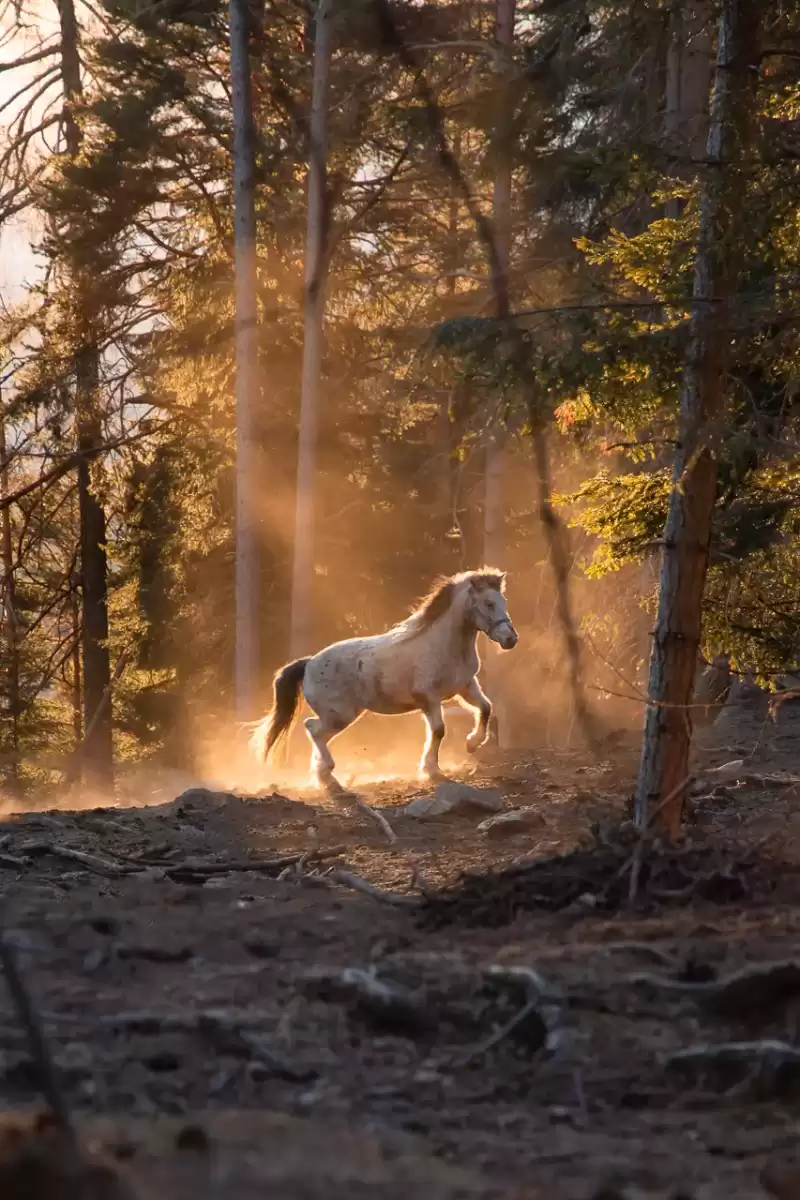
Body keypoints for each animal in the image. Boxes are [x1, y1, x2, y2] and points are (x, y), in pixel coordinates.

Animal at [250, 567, 518, 798]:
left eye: (503, 602)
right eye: (489, 603)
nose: (510, 639)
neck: (445, 645)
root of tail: (309, 663)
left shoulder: (465, 687)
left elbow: (486, 708)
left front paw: (472, 744)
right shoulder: (428, 698)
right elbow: (439, 730)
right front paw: (431, 770)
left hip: (340, 715)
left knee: (315, 732)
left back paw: (325, 777)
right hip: (339, 715)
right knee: (313, 729)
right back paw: (329, 776)